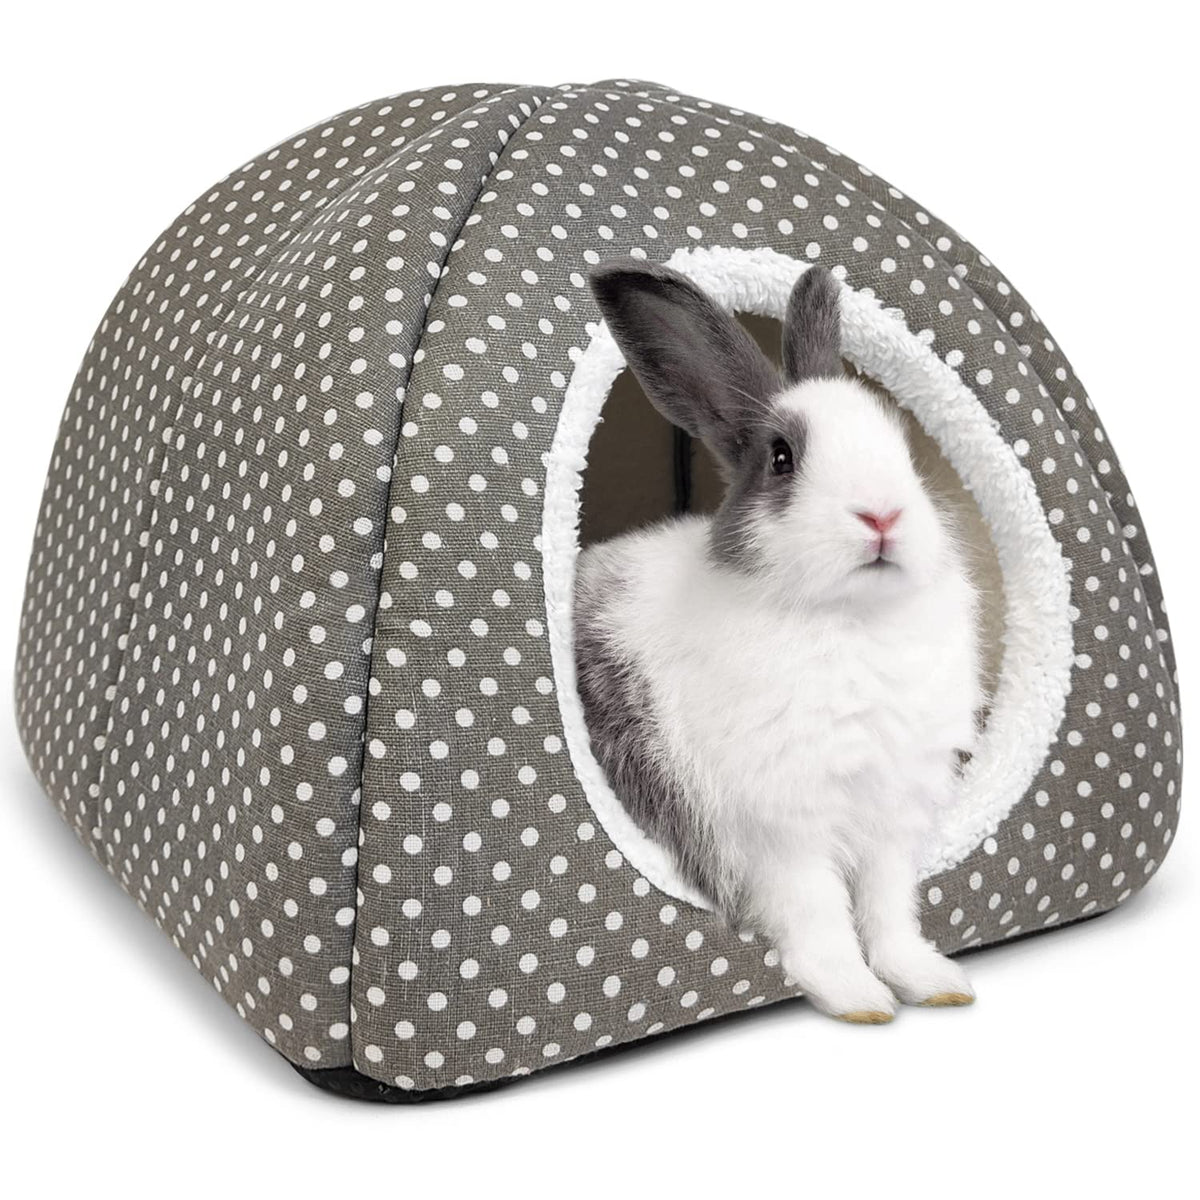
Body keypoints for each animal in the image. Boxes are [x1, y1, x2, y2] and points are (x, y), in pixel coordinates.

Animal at [574, 260, 982, 1023]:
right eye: (782, 458)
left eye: (903, 445)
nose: (882, 515)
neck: (850, 619)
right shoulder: (781, 831)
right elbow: (819, 914)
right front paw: (859, 999)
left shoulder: (891, 822)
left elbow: (890, 912)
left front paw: (935, 983)